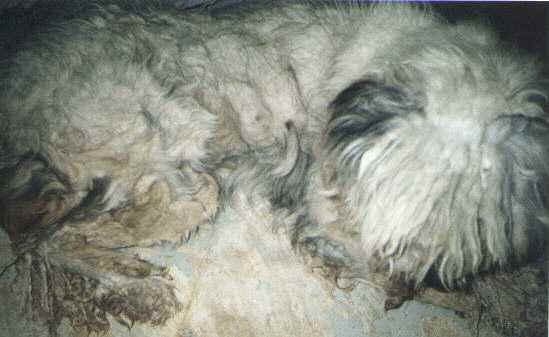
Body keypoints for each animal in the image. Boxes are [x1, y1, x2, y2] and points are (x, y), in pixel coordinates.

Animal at [0, 1, 544, 334]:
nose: (399, 285)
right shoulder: (329, 204)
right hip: (183, 181)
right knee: (51, 239)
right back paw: (143, 288)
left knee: (47, 233)